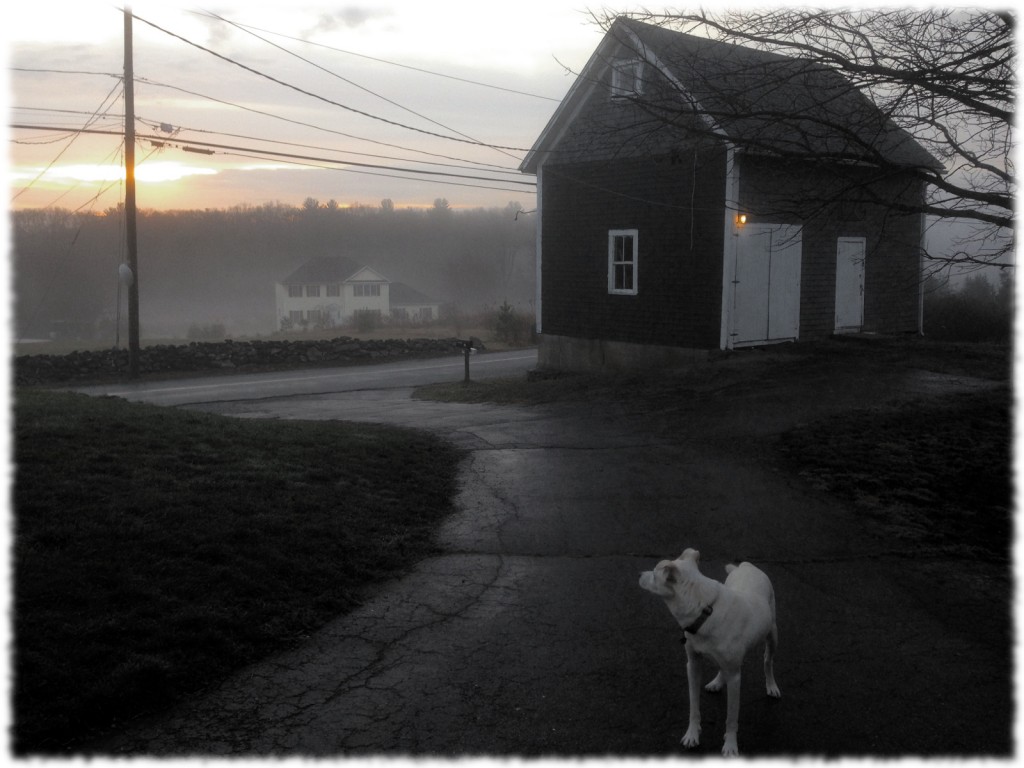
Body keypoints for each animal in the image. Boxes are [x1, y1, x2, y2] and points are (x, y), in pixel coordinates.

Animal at [634, 548, 778, 757]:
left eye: (653, 574)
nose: (639, 575)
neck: (704, 610)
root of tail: (746, 565)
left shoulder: (735, 677)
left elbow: (731, 717)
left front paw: (730, 746)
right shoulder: (693, 665)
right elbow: (694, 706)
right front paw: (692, 735)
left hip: (773, 634)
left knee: (768, 660)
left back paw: (771, 685)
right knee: (722, 667)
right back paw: (717, 682)